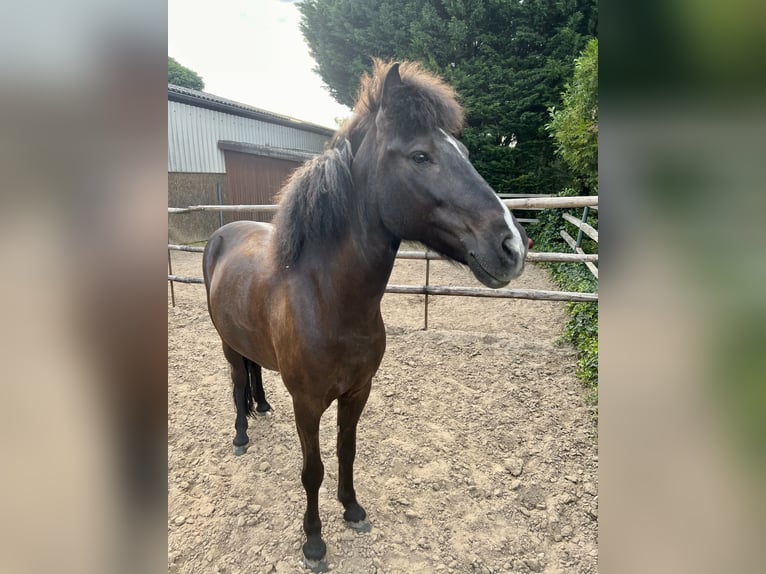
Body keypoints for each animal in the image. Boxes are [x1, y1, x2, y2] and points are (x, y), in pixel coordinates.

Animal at [202, 59, 528, 572]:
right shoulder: (308, 403)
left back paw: (263, 408)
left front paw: (352, 509)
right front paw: (314, 542)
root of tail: (222, 233)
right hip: (227, 345)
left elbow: (347, 452)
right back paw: (240, 435)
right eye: (420, 156)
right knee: (237, 383)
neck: (328, 301)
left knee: (254, 376)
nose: (512, 246)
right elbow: (312, 470)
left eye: (463, 150)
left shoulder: (357, 393)